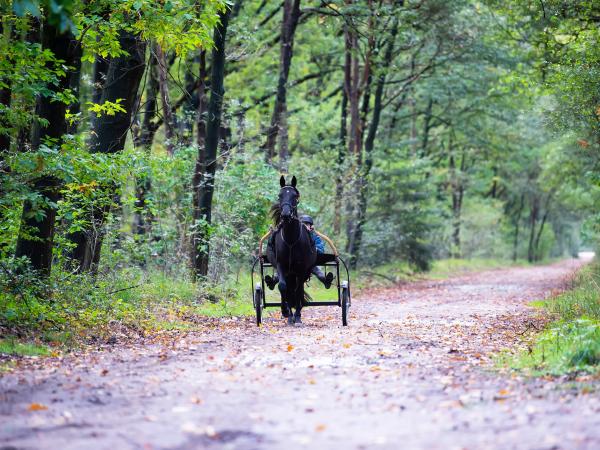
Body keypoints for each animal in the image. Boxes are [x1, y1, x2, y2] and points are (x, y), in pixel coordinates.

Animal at [264, 174, 316, 326]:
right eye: (279, 195)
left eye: (295, 196)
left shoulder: (301, 268)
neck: (291, 240)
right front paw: (286, 313)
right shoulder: (281, 265)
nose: (286, 214)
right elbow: (282, 286)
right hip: (287, 271)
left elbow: (298, 290)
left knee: (298, 288)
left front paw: (297, 316)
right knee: (287, 288)